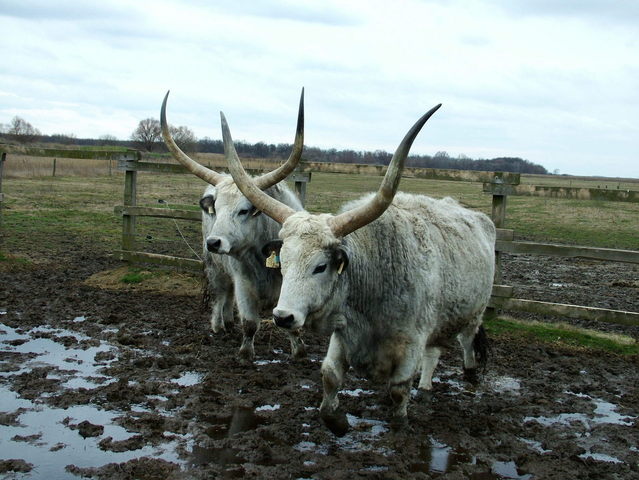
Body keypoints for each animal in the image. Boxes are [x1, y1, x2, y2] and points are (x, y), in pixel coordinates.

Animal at [162, 89, 308, 364]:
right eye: (216, 209)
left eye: (243, 210)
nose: (213, 243)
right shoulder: (243, 282)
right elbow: (249, 322)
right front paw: (245, 354)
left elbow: (291, 322)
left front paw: (299, 352)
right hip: (215, 268)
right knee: (221, 294)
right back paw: (220, 324)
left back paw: (228, 322)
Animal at [222, 102, 498, 436]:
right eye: (283, 263)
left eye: (321, 266)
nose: (283, 317)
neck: (377, 280)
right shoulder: (345, 331)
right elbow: (329, 376)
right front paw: (338, 421)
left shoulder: (411, 341)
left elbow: (398, 389)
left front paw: (399, 424)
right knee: (434, 353)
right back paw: (426, 385)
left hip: (473, 315)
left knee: (467, 344)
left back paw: (469, 377)